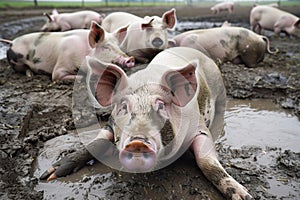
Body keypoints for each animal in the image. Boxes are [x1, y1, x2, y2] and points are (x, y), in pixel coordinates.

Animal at [0, 21, 135, 81]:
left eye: (118, 46)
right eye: (106, 47)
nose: (130, 58)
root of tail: (12, 41)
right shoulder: (60, 67)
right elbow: (59, 76)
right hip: (16, 62)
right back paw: (30, 75)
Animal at [40, 46, 253, 198]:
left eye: (161, 106)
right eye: (123, 106)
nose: (137, 141)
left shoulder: (199, 127)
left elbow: (206, 162)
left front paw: (244, 196)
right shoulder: (110, 122)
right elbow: (96, 142)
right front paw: (49, 175)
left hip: (220, 92)